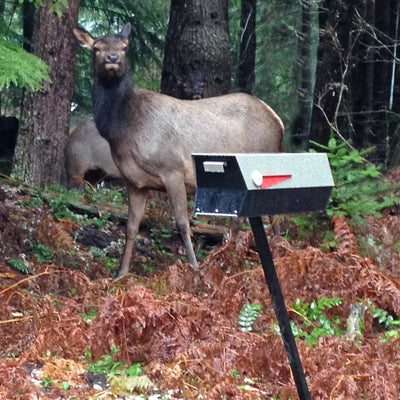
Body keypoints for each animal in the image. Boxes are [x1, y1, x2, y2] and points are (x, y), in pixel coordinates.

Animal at [72, 23, 284, 276]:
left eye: (124, 47)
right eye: (96, 48)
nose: (112, 58)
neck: (123, 130)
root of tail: (278, 121)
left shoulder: (172, 169)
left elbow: (183, 223)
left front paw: (197, 271)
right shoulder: (134, 182)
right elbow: (131, 226)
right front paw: (120, 273)